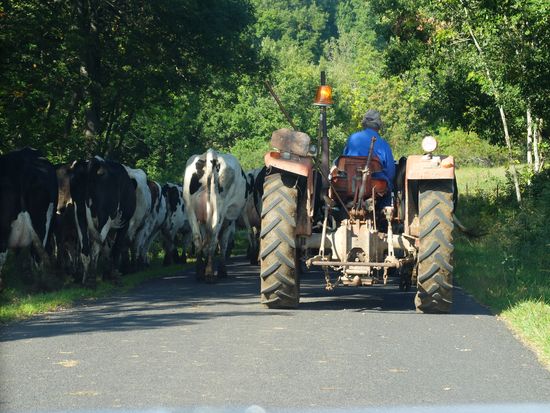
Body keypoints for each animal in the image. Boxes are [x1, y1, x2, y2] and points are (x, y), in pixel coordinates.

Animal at [68, 156, 137, 284]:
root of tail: (93, 162)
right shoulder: (124, 223)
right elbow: (115, 247)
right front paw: (114, 274)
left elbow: (106, 248)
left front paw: (107, 274)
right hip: (104, 217)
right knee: (96, 249)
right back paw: (93, 279)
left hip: (79, 214)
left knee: (85, 249)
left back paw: (85, 280)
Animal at [183, 148, 248, 280]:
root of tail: (210, 155)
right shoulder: (229, 220)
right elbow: (223, 243)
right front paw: (223, 271)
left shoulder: (202, 220)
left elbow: (204, 239)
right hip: (219, 207)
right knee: (213, 237)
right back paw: (209, 273)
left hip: (190, 207)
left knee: (198, 237)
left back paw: (200, 272)